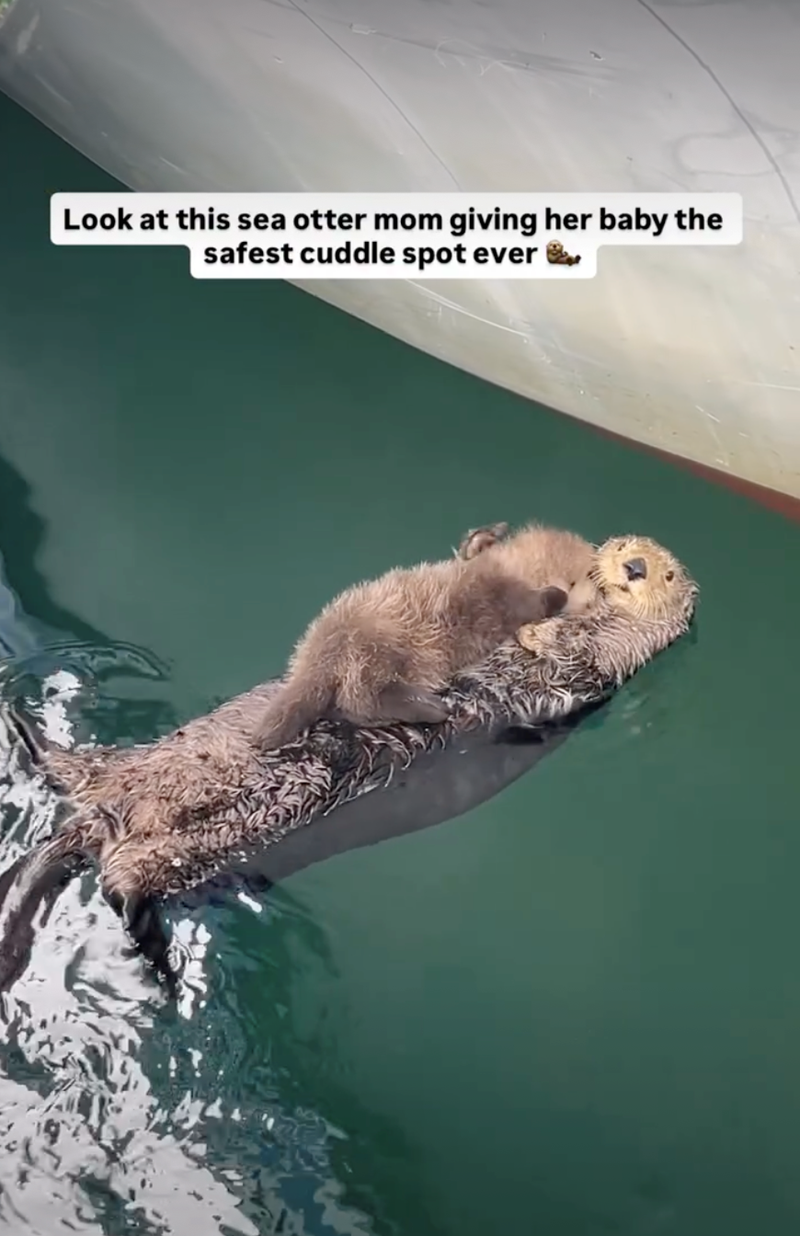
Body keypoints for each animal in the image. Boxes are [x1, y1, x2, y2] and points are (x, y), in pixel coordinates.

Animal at [253, 522, 598, 750]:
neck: (514, 568)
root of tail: (320, 654)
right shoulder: (502, 591)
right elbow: (525, 600)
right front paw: (555, 593)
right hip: (379, 645)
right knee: (360, 700)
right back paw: (432, 708)